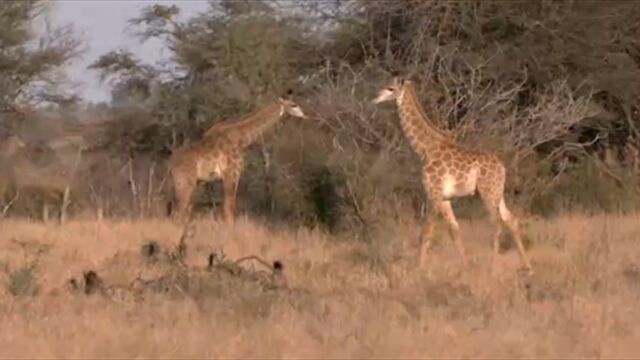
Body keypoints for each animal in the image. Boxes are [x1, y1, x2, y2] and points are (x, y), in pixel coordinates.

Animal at [168, 90, 308, 222]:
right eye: (294, 105)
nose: (304, 114)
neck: (242, 139)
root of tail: (170, 163)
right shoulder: (232, 173)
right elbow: (229, 209)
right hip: (185, 182)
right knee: (177, 212)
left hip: (188, 183)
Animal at [372, 76, 532, 272]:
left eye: (391, 89)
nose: (376, 97)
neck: (424, 149)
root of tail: (502, 167)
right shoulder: (444, 197)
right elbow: (454, 229)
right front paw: (465, 266)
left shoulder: (433, 193)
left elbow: (427, 230)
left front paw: (419, 269)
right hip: (497, 192)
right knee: (511, 220)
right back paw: (527, 267)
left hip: (487, 191)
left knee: (496, 223)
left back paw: (492, 267)